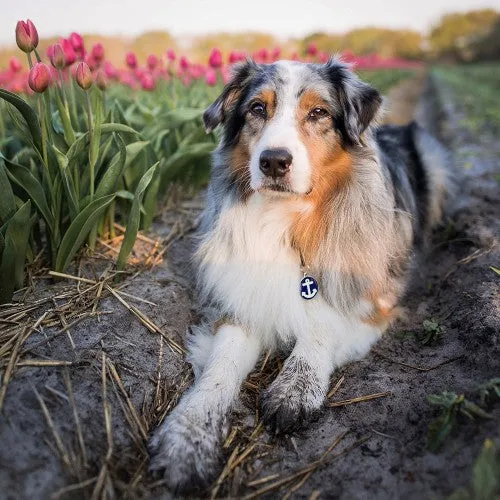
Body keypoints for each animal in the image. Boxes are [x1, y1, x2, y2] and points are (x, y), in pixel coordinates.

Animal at [147, 56, 450, 490]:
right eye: (257, 108)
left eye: (318, 113)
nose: (274, 161)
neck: (286, 217)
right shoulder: (242, 299)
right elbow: (220, 367)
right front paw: (186, 438)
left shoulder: (373, 298)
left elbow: (321, 325)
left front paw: (294, 389)